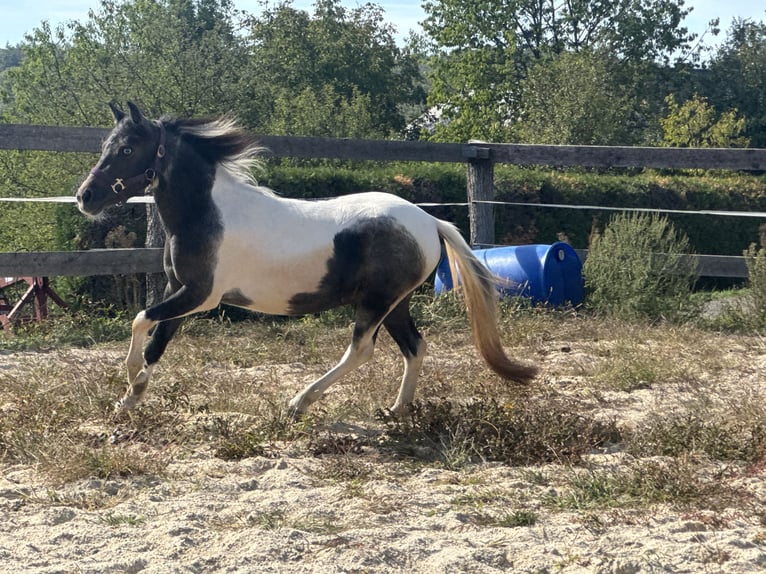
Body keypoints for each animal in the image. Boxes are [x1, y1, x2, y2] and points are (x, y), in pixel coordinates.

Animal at [75, 102, 537, 415]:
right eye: (107, 144)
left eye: (128, 148)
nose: (85, 197)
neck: (206, 214)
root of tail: (428, 220)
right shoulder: (180, 291)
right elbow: (156, 341)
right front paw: (129, 399)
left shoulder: (200, 295)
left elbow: (140, 320)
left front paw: (129, 383)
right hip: (396, 303)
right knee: (414, 347)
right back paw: (396, 410)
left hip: (376, 302)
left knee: (361, 350)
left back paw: (299, 402)